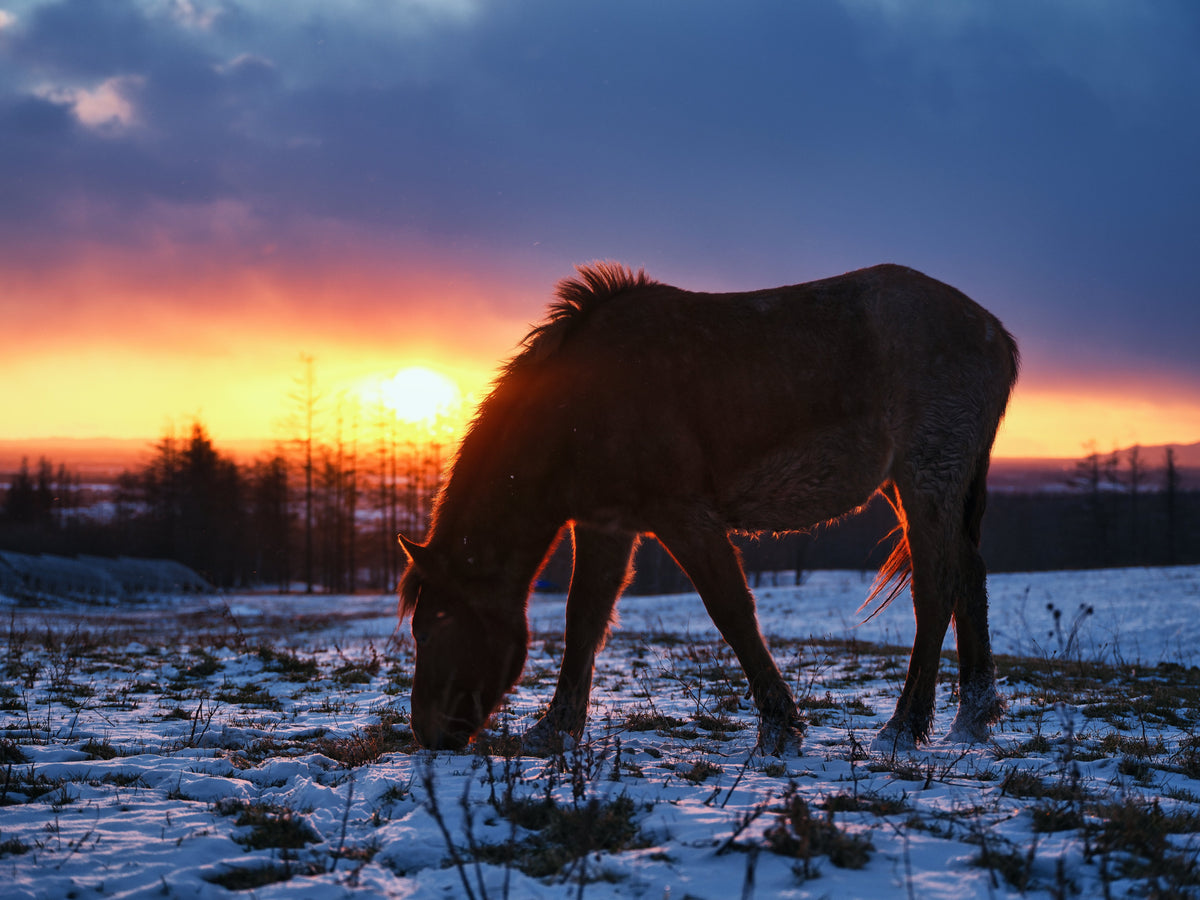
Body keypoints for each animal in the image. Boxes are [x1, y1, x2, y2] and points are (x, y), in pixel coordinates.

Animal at [399, 262, 1019, 754]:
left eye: (427, 631)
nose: (428, 735)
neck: (579, 407)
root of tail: (996, 335)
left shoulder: (685, 517)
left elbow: (731, 612)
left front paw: (780, 726)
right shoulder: (606, 527)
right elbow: (584, 618)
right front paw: (555, 730)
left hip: (925, 480)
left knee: (935, 589)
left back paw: (903, 727)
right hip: (921, 488)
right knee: (969, 577)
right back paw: (972, 718)